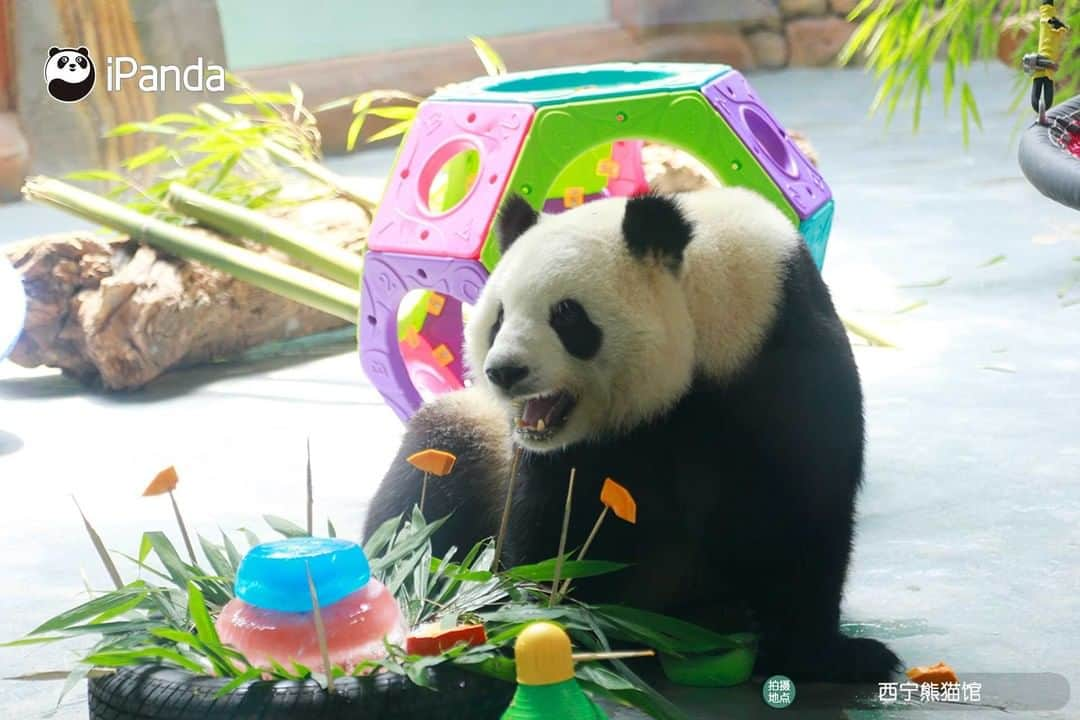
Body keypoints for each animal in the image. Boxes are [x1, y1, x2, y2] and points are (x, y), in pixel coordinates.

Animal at [365, 185, 902, 682]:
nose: (504, 371)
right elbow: (558, 524)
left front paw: (828, 655)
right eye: (498, 317)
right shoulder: (568, 451)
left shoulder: (781, 358)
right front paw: (553, 621)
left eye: (567, 316)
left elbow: (804, 509)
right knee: (426, 486)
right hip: (469, 434)